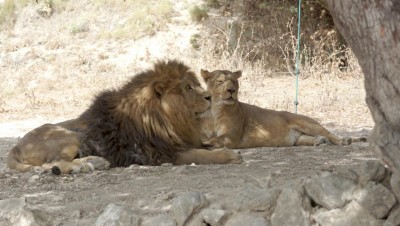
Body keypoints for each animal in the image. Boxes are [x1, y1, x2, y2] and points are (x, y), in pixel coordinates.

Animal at [7, 60, 242, 175]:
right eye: (188, 88)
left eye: (194, 84)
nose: (209, 97)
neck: (172, 120)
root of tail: (16, 146)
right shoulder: (159, 154)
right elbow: (200, 155)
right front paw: (229, 155)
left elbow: (206, 146)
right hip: (68, 135)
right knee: (53, 163)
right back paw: (86, 165)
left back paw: (95, 162)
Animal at [200, 69, 366, 149]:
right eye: (220, 81)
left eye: (234, 81)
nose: (231, 90)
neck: (216, 110)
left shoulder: (231, 137)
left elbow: (215, 139)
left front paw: (207, 144)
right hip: (299, 139)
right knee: (312, 138)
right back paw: (320, 141)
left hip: (308, 123)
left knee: (330, 133)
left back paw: (344, 140)